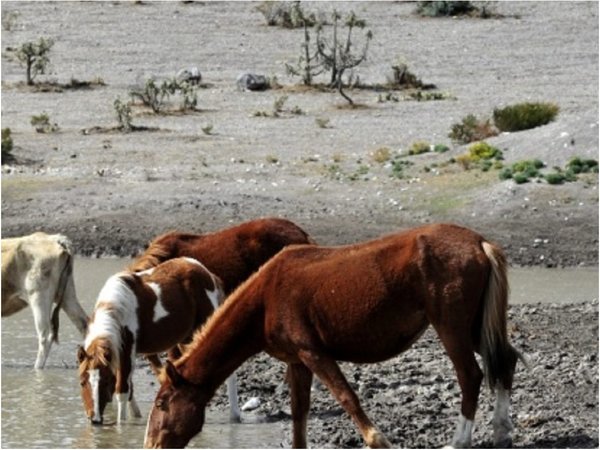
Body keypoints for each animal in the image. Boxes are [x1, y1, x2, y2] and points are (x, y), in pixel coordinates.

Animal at [77, 256, 239, 426]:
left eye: (107, 381)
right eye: (82, 382)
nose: (94, 419)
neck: (117, 311)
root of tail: (208, 274)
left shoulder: (126, 351)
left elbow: (122, 391)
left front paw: (122, 427)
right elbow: (130, 389)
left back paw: (234, 416)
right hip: (187, 339)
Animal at [143, 223, 524, 448]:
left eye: (162, 404)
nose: (151, 445)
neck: (266, 297)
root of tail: (479, 242)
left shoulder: (313, 352)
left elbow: (347, 398)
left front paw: (377, 439)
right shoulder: (298, 362)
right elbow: (299, 415)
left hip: (451, 327)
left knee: (470, 376)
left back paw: (460, 439)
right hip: (475, 327)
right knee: (505, 361)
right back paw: (501, 430)